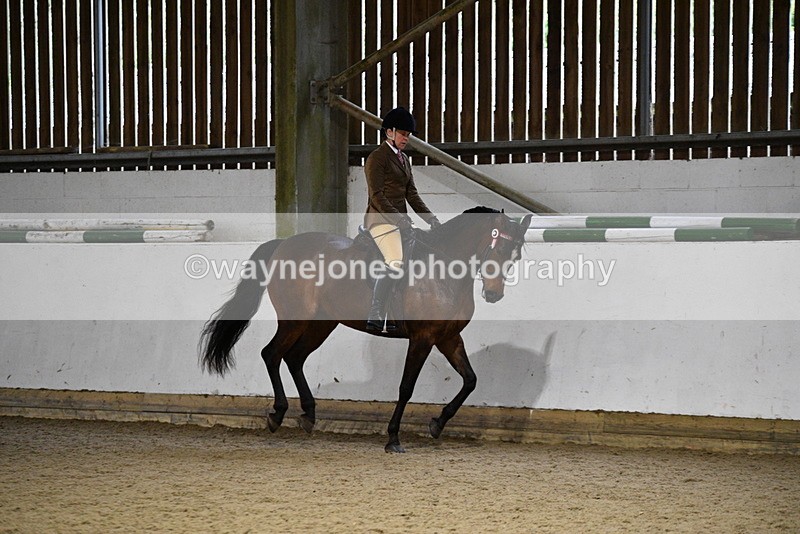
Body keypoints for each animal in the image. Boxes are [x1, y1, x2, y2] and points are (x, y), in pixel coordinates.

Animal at [200, 207, 532, 452]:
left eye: (515, 255)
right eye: (498, 247)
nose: (494, 294)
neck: (443, 272)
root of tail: (283, 243)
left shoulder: (448, 338)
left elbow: (470, 380)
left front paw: (437, 424)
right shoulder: (422, 339)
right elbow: (406, 387)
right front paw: (393, 438)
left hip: (321, 324)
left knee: (294, 358)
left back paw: (308, 415)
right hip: (295, 320)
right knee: (272, 354)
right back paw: (278, 414)